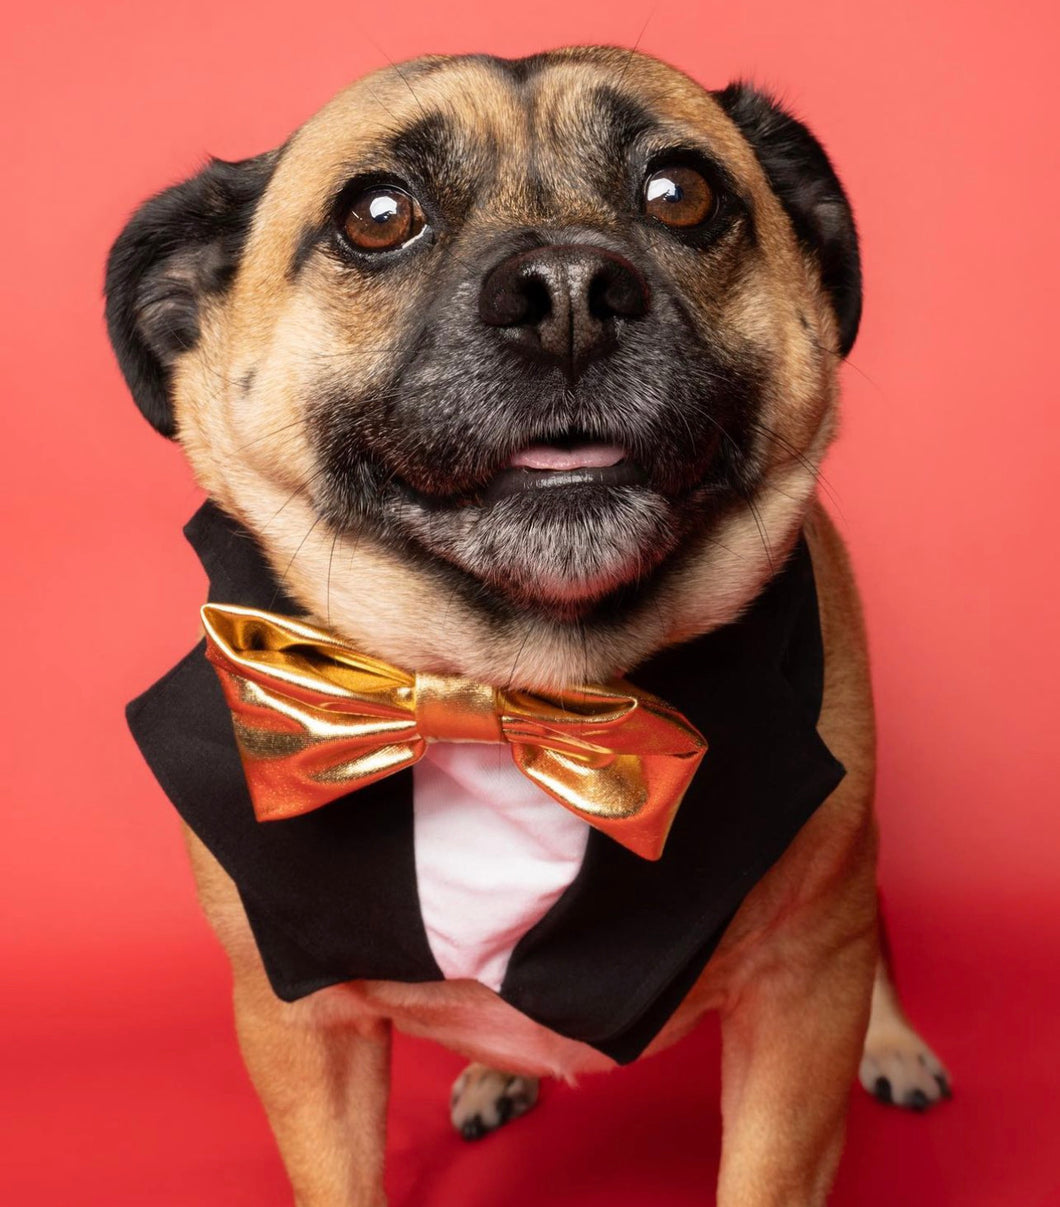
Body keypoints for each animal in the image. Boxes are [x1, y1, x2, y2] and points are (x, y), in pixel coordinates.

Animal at [105, 44, 956, 1207]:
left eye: (681, 194)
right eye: (377, 215)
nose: (566, 295)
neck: (505, 690)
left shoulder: (800, 1000)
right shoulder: (304, 1031)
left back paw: (894, 1042)